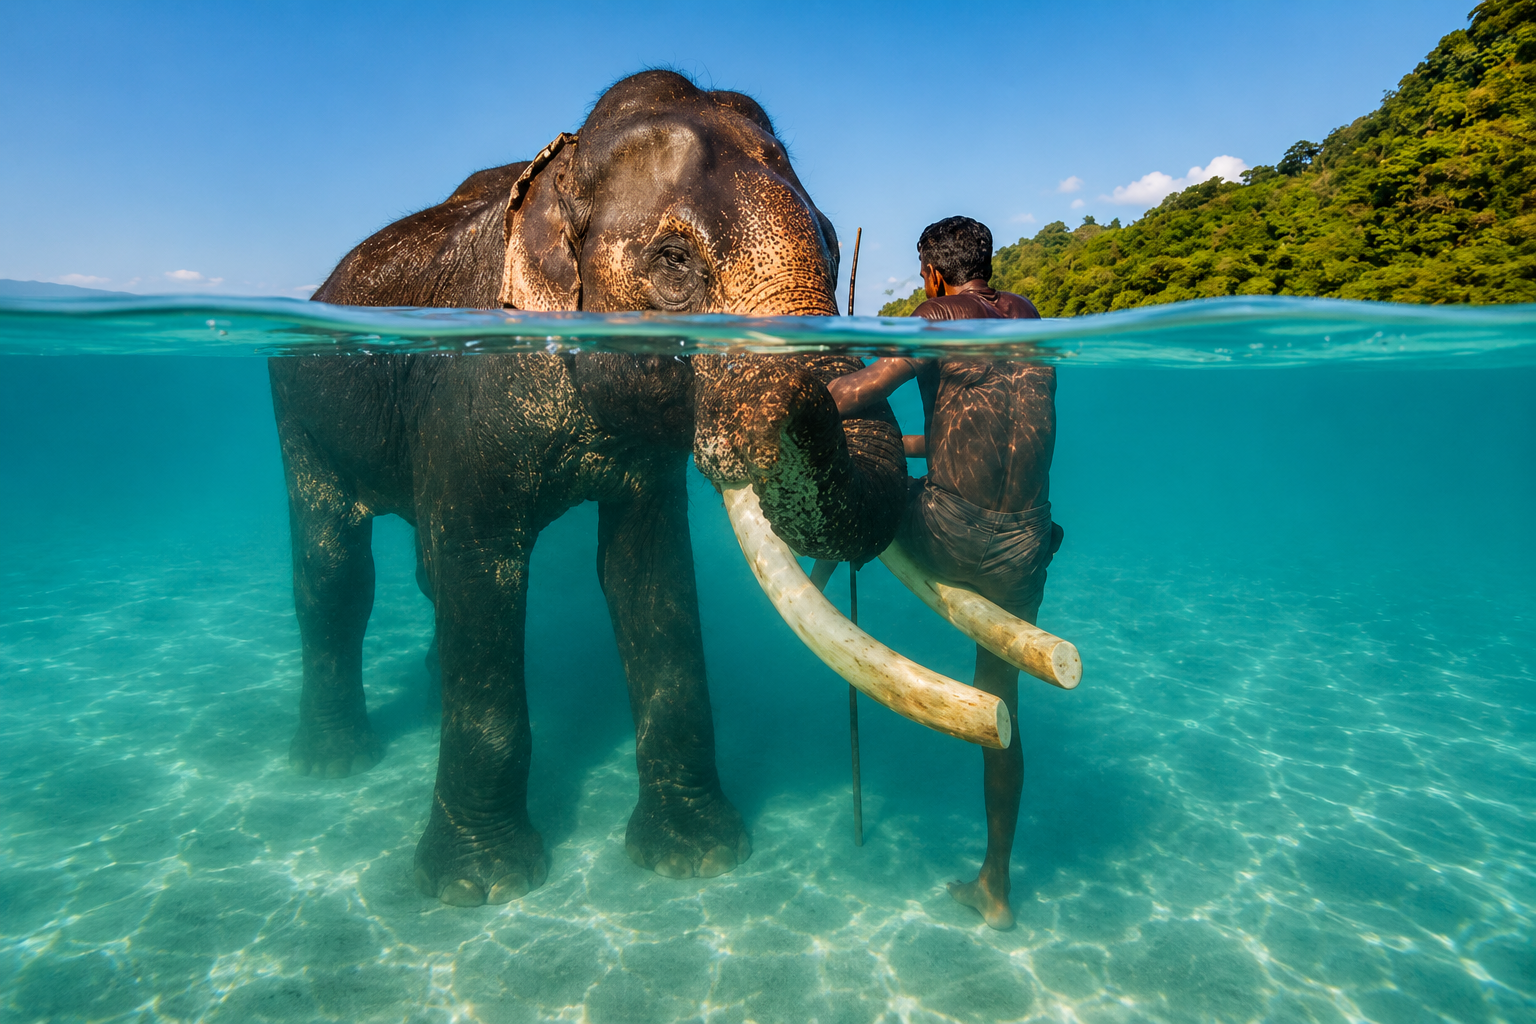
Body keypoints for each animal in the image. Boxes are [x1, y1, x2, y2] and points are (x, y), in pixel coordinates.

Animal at [269, 70, 927, 908]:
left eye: (838, 241)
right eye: (674, 259)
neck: (558, 172)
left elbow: (648, 576)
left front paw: (695, 858)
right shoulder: (464, 395)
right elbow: (479, 576)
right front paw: (481, 885)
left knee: (421, 571)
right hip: (297, 408)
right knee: (336, 573)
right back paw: (334, 761)